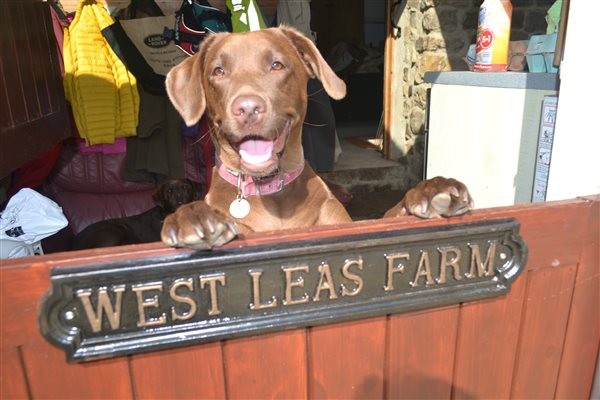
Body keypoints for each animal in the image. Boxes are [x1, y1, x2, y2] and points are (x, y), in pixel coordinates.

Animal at [164, 26, 474, 248]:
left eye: (277, 65)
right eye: (218, 71)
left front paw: (433, 190)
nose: (248, 109)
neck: (272, 192)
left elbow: (393, 212)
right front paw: (192, 215)